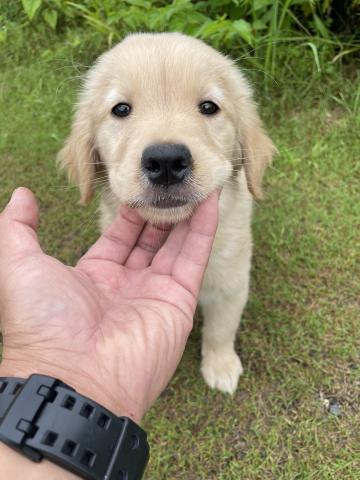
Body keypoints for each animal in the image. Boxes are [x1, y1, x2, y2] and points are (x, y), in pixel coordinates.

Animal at [58, 32, 276, 394]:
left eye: (209, 107)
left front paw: (221, 366)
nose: (166, 161)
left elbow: (221, 329)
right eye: (121, 109)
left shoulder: (231, 280)